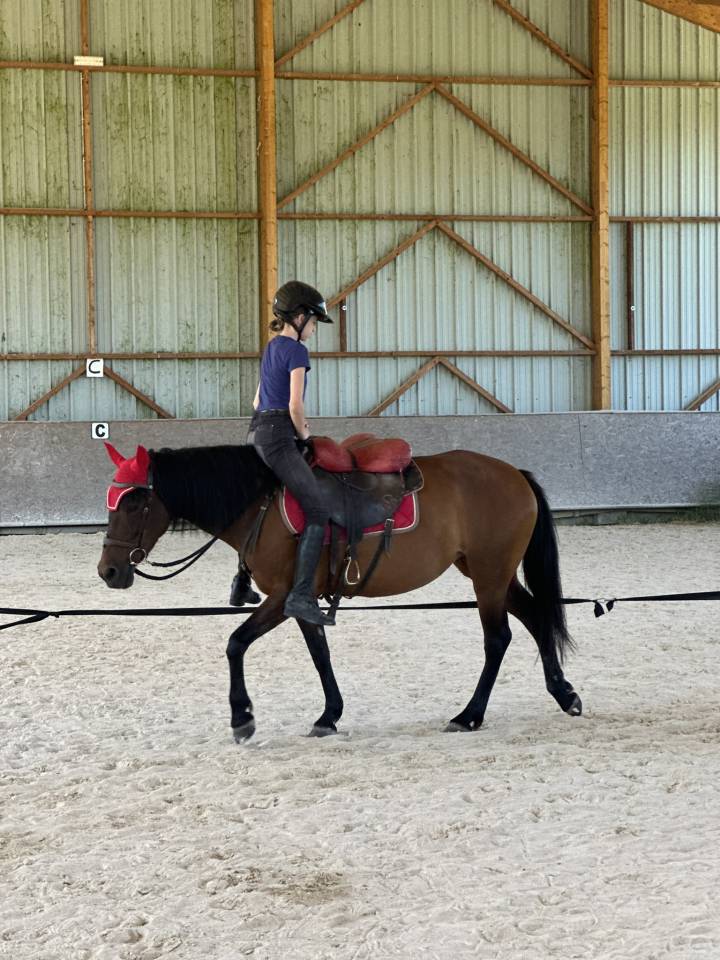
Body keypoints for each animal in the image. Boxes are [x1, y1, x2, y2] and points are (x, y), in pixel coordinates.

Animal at [97, 440, 582, 741]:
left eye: (135, 502)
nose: (109, 570)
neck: (261, 505)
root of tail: (513, 473)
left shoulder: (282, 598)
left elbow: (236, 643)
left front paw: (242, 718)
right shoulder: (302, 601)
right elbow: (320, 654)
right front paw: (329, 716)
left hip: (489, 575)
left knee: (498, 639)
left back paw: (470, 716)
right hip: (490, 574)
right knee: (536, 617)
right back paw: (564, 694)